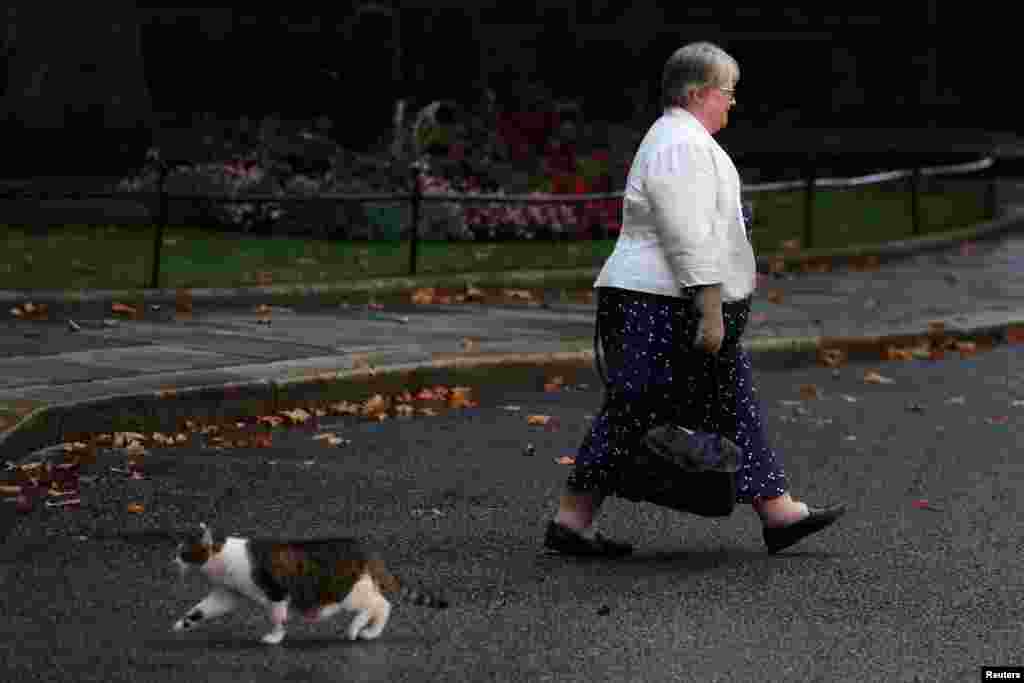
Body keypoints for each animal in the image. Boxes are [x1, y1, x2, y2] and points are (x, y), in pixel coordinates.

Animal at [169, 524, 446, 647]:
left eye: (183, 553)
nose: (173, 560)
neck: (224, 560)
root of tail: (368, 550)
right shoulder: (227, 594)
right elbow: (201, 609)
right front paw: (182, 623)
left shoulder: (277, 593)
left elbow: (277, 618)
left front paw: (275, 636)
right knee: (383, 605)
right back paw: (371, 632)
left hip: (346, 591)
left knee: (378, 604)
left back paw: (357, 628)